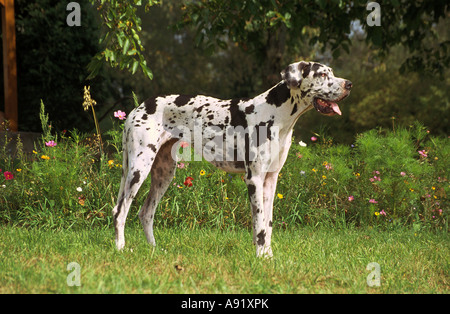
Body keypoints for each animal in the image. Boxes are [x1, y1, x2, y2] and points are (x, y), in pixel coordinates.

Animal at [111, 60, 352, 258]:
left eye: (332, 72)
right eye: (322, 74)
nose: (349, 84)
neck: (277, 114)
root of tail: (138, 107)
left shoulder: (271, 180)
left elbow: (268, 224)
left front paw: (269, 256)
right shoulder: (254, 178)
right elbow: (259, 225)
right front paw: (261, 257)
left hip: (164, 173)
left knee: (146, 213)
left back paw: (154, 250)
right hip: (138, 169)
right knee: (120, 211)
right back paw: (120, 247)